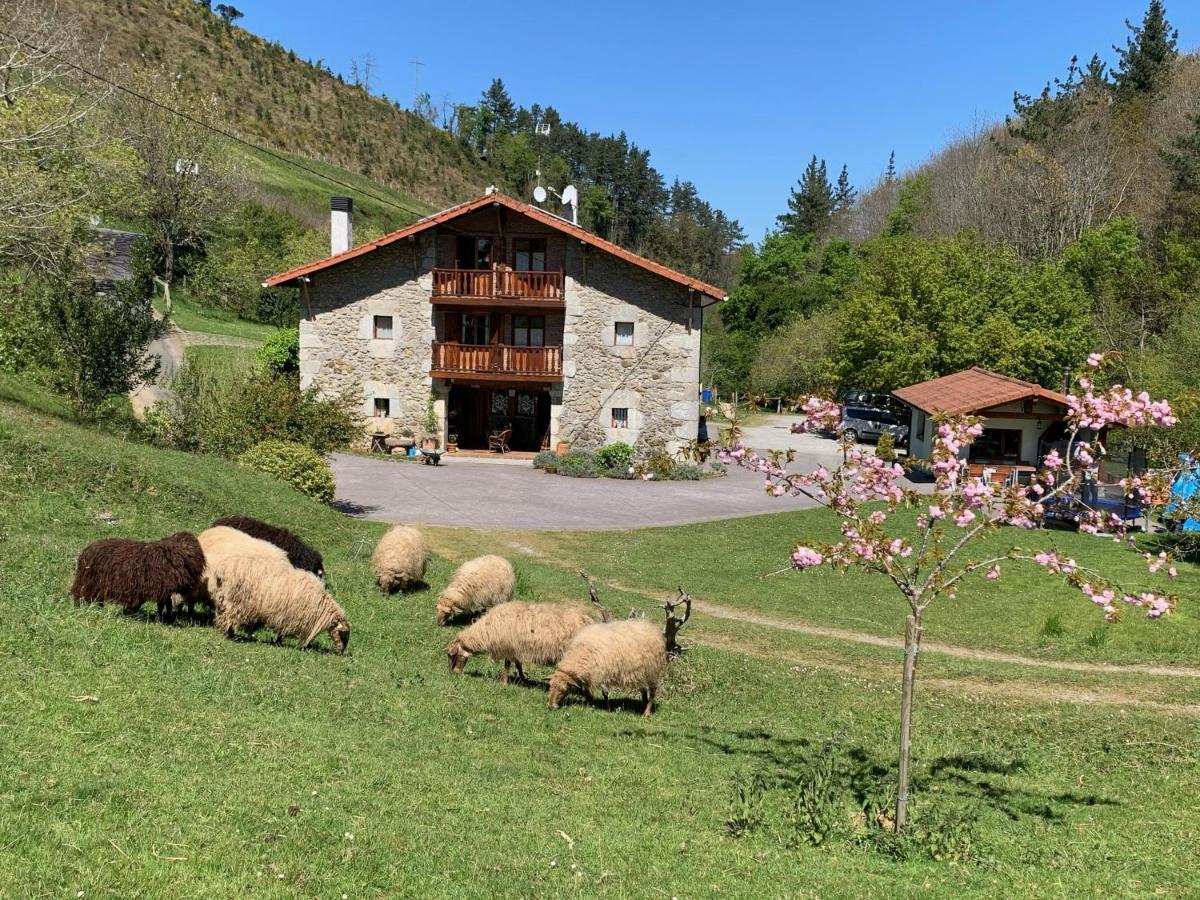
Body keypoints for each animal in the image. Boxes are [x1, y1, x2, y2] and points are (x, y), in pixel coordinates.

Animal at [71, 532, 206, 624]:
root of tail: (87, 550)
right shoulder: (160, 588)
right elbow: (163, 605)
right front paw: (160, 619)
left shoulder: (162, 590)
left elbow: (165, 605)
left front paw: (165, 618)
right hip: (89, 582)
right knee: (82, 595)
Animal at [210, 556, 350, 657]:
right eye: (343, 634)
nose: (341, 651)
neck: (321, 605)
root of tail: (224, 569)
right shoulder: (292, 616)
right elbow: (284, 631)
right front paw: (281, 643)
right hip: (235, 600)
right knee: (229, 617)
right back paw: (230, 635)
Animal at [448, 607, 597, 681]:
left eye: (451, 655)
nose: (453, 673)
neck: (486, 632)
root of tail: (589, 621)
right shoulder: (515, 649)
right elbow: (518, 664)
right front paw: (522, 678)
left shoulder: (507, 647)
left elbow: (507, 665)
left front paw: (504, 682)